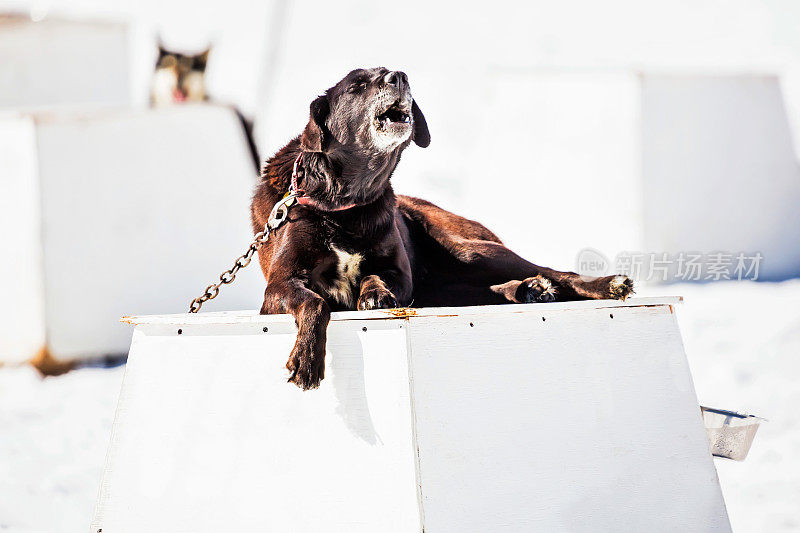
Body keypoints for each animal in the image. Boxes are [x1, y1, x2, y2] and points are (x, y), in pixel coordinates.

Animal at [253, 68, 636, 388]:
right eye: (357, 85)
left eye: (388, 71)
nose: (399, 76)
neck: (343, 202)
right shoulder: (280, 285)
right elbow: (316, 303)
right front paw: (307, 358)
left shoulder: (401, 276)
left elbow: (375, 275)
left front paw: (373, 293)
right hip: (445, 285)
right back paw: (529, 290)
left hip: (469, 251)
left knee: (557, 272)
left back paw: (602, 285)